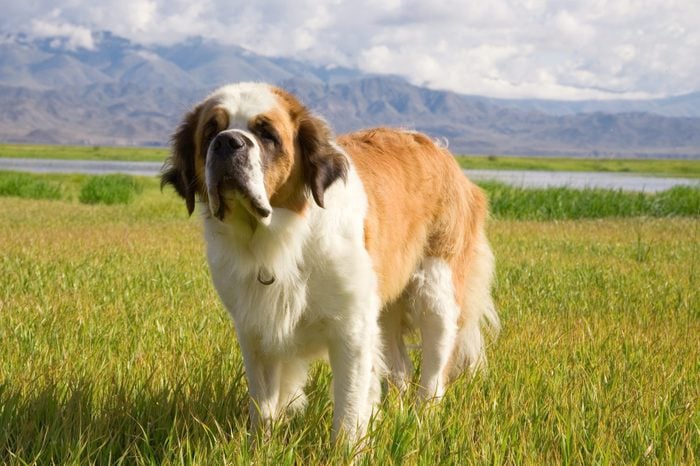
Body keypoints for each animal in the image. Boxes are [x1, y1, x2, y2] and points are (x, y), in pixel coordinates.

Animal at [162, 82, 500, 442]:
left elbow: (349, 406)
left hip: (435, 290)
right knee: (400, 367)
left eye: (267, 134)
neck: (279, 241)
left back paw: (423, 421)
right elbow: (262, 404)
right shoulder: (254, 329)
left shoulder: (351, 328)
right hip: (384, 307)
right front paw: (260, 446)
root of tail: (441, 151)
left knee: (434, 370)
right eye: (211, 131)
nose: (228, 142)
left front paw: (347, 448)